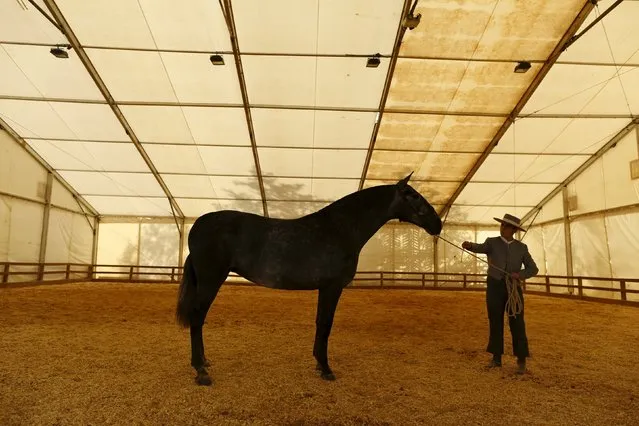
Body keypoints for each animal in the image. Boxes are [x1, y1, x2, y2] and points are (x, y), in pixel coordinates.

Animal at [178, 171, 442, 384]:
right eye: (412, 195)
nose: (437, 224)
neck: (340, 229)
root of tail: (198, 224)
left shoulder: (325, 289)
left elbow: (319, 323)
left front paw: (318, 363)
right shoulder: (331, 287)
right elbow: (325, 324)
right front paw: (326, 368)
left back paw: (204, 361)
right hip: (211, 280)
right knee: (197, 317)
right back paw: (201, 371)